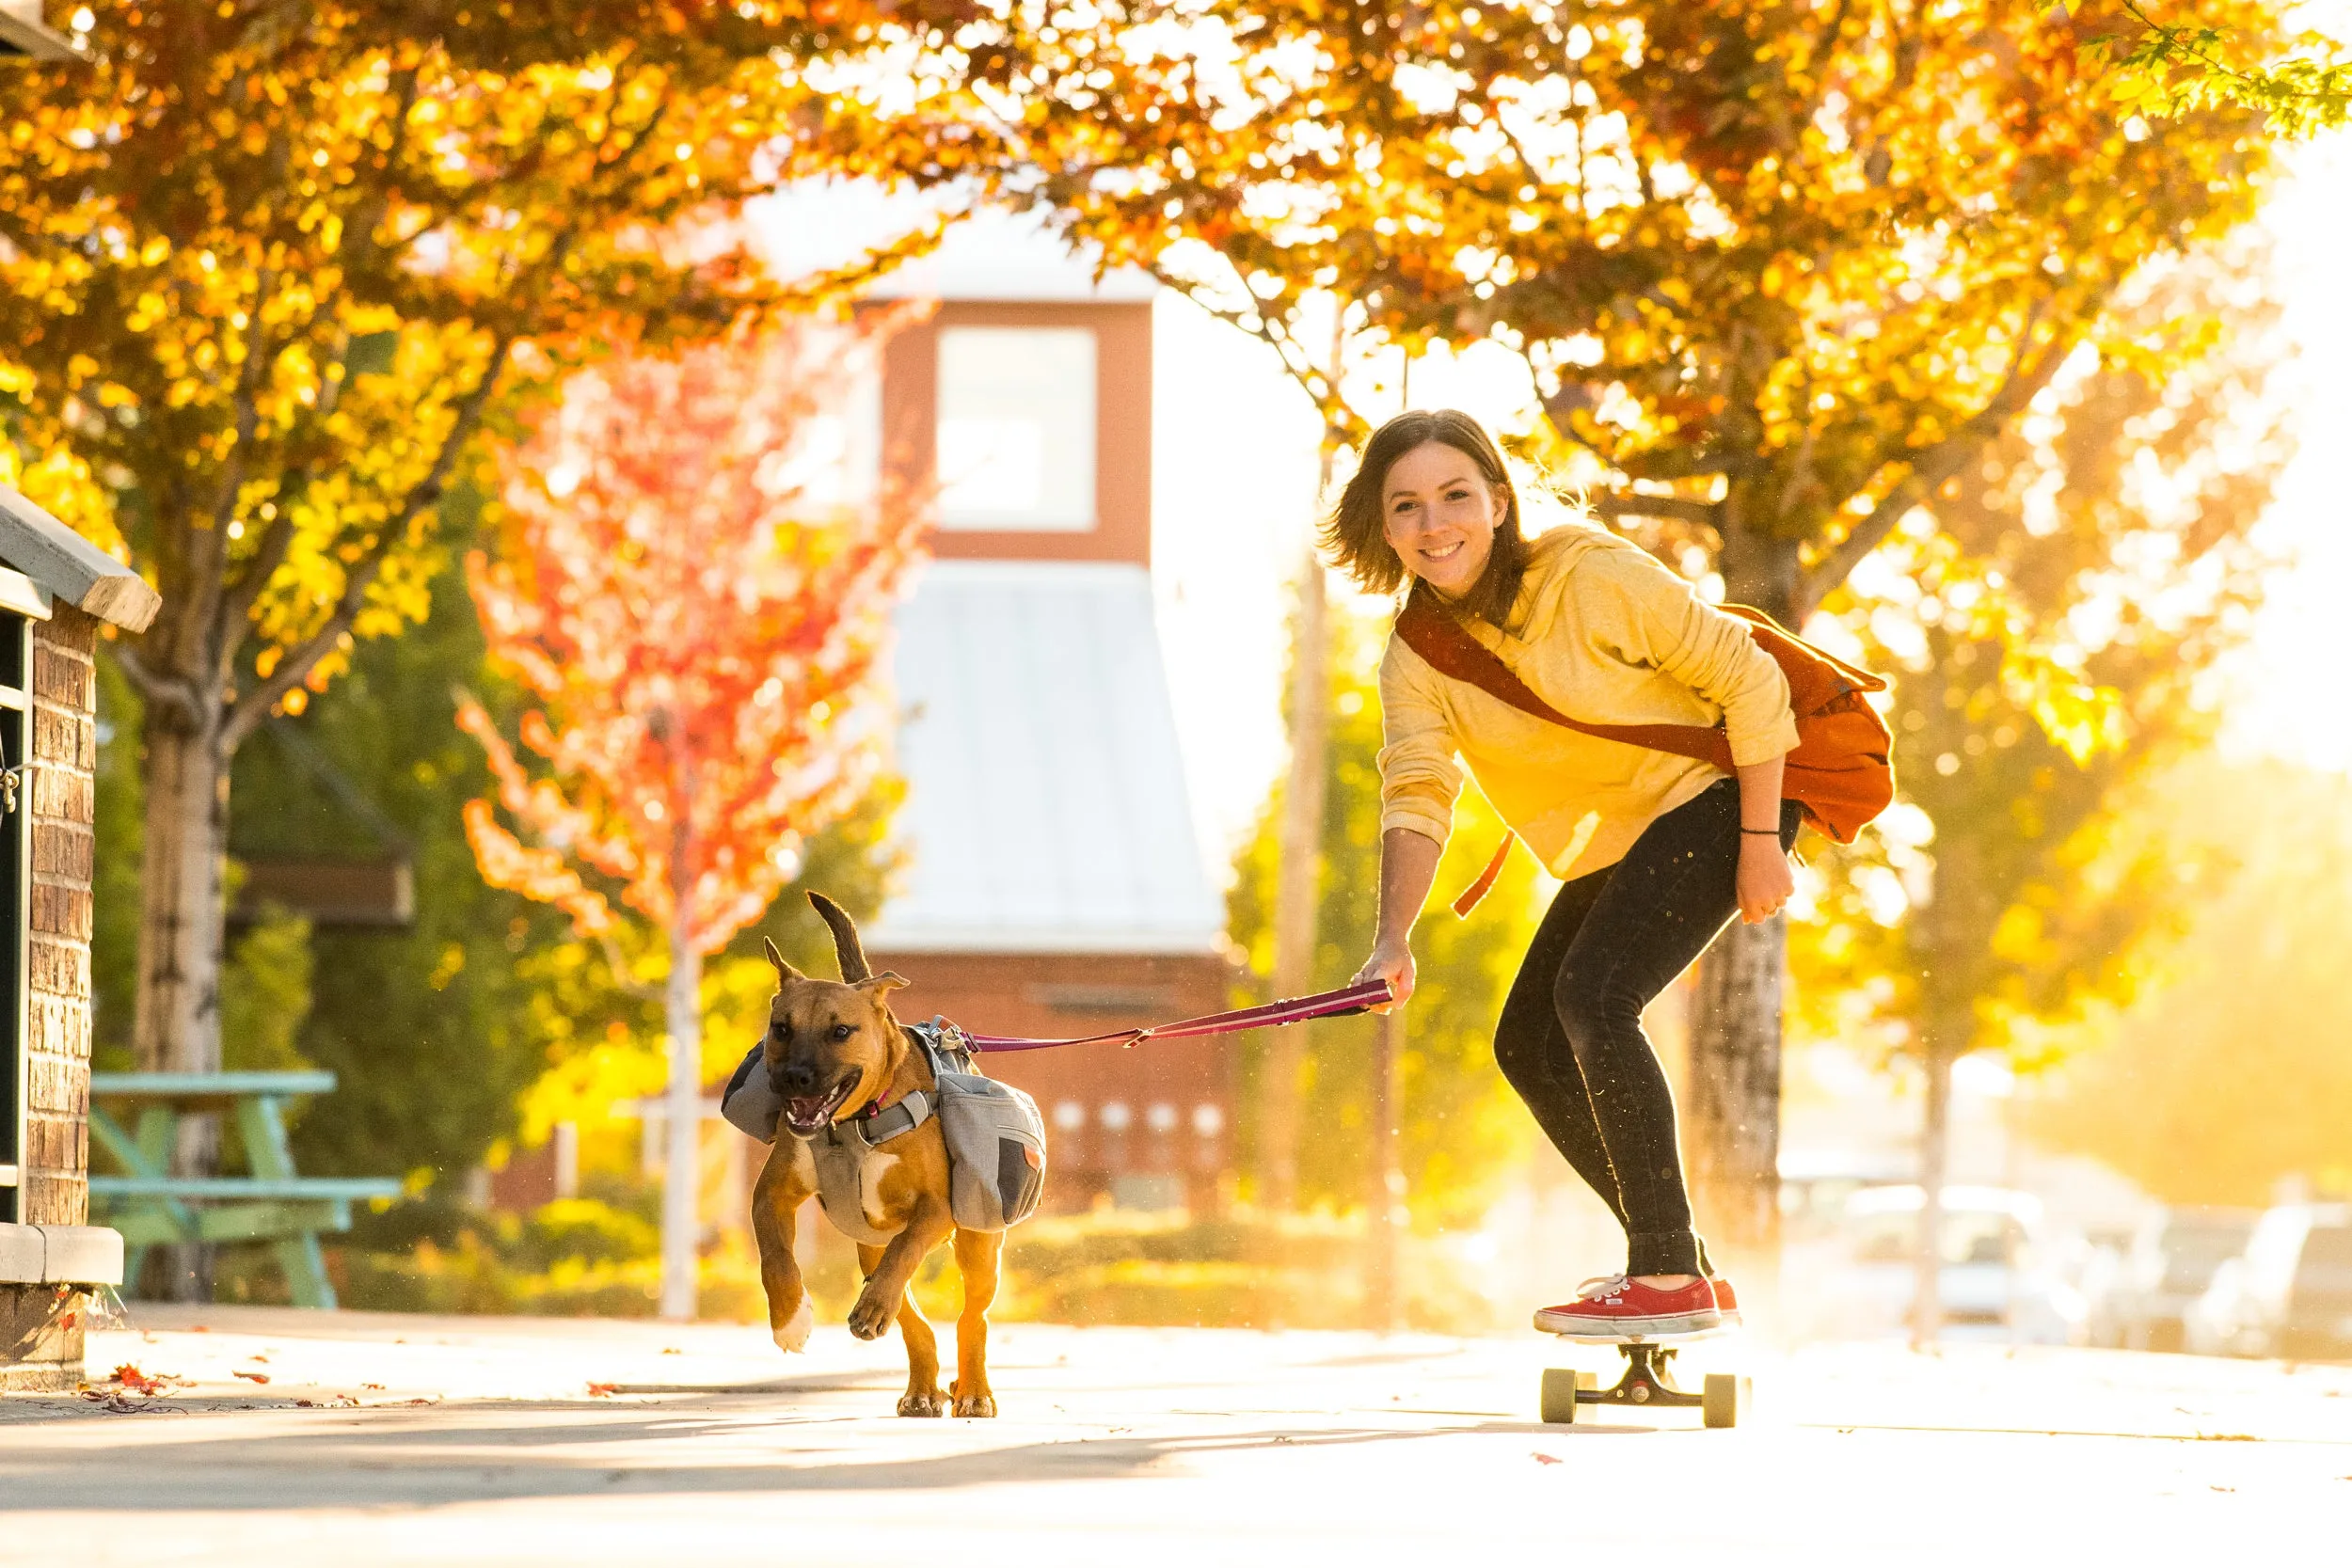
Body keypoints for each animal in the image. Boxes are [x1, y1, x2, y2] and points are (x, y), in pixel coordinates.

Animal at [748, 893, 997, 1419]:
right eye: (781, 1028)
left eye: (841, 1031)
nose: (795, 1077)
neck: (855, 1124)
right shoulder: (771, 1194)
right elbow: (774, 1254)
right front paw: (789, 1321)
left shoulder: (936, 1208)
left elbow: (907, 1248)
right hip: (868, 1243)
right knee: (910, 1315)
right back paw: (922, 1387)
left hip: (978, 1246)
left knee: (972, 1315)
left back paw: (972, 1390)